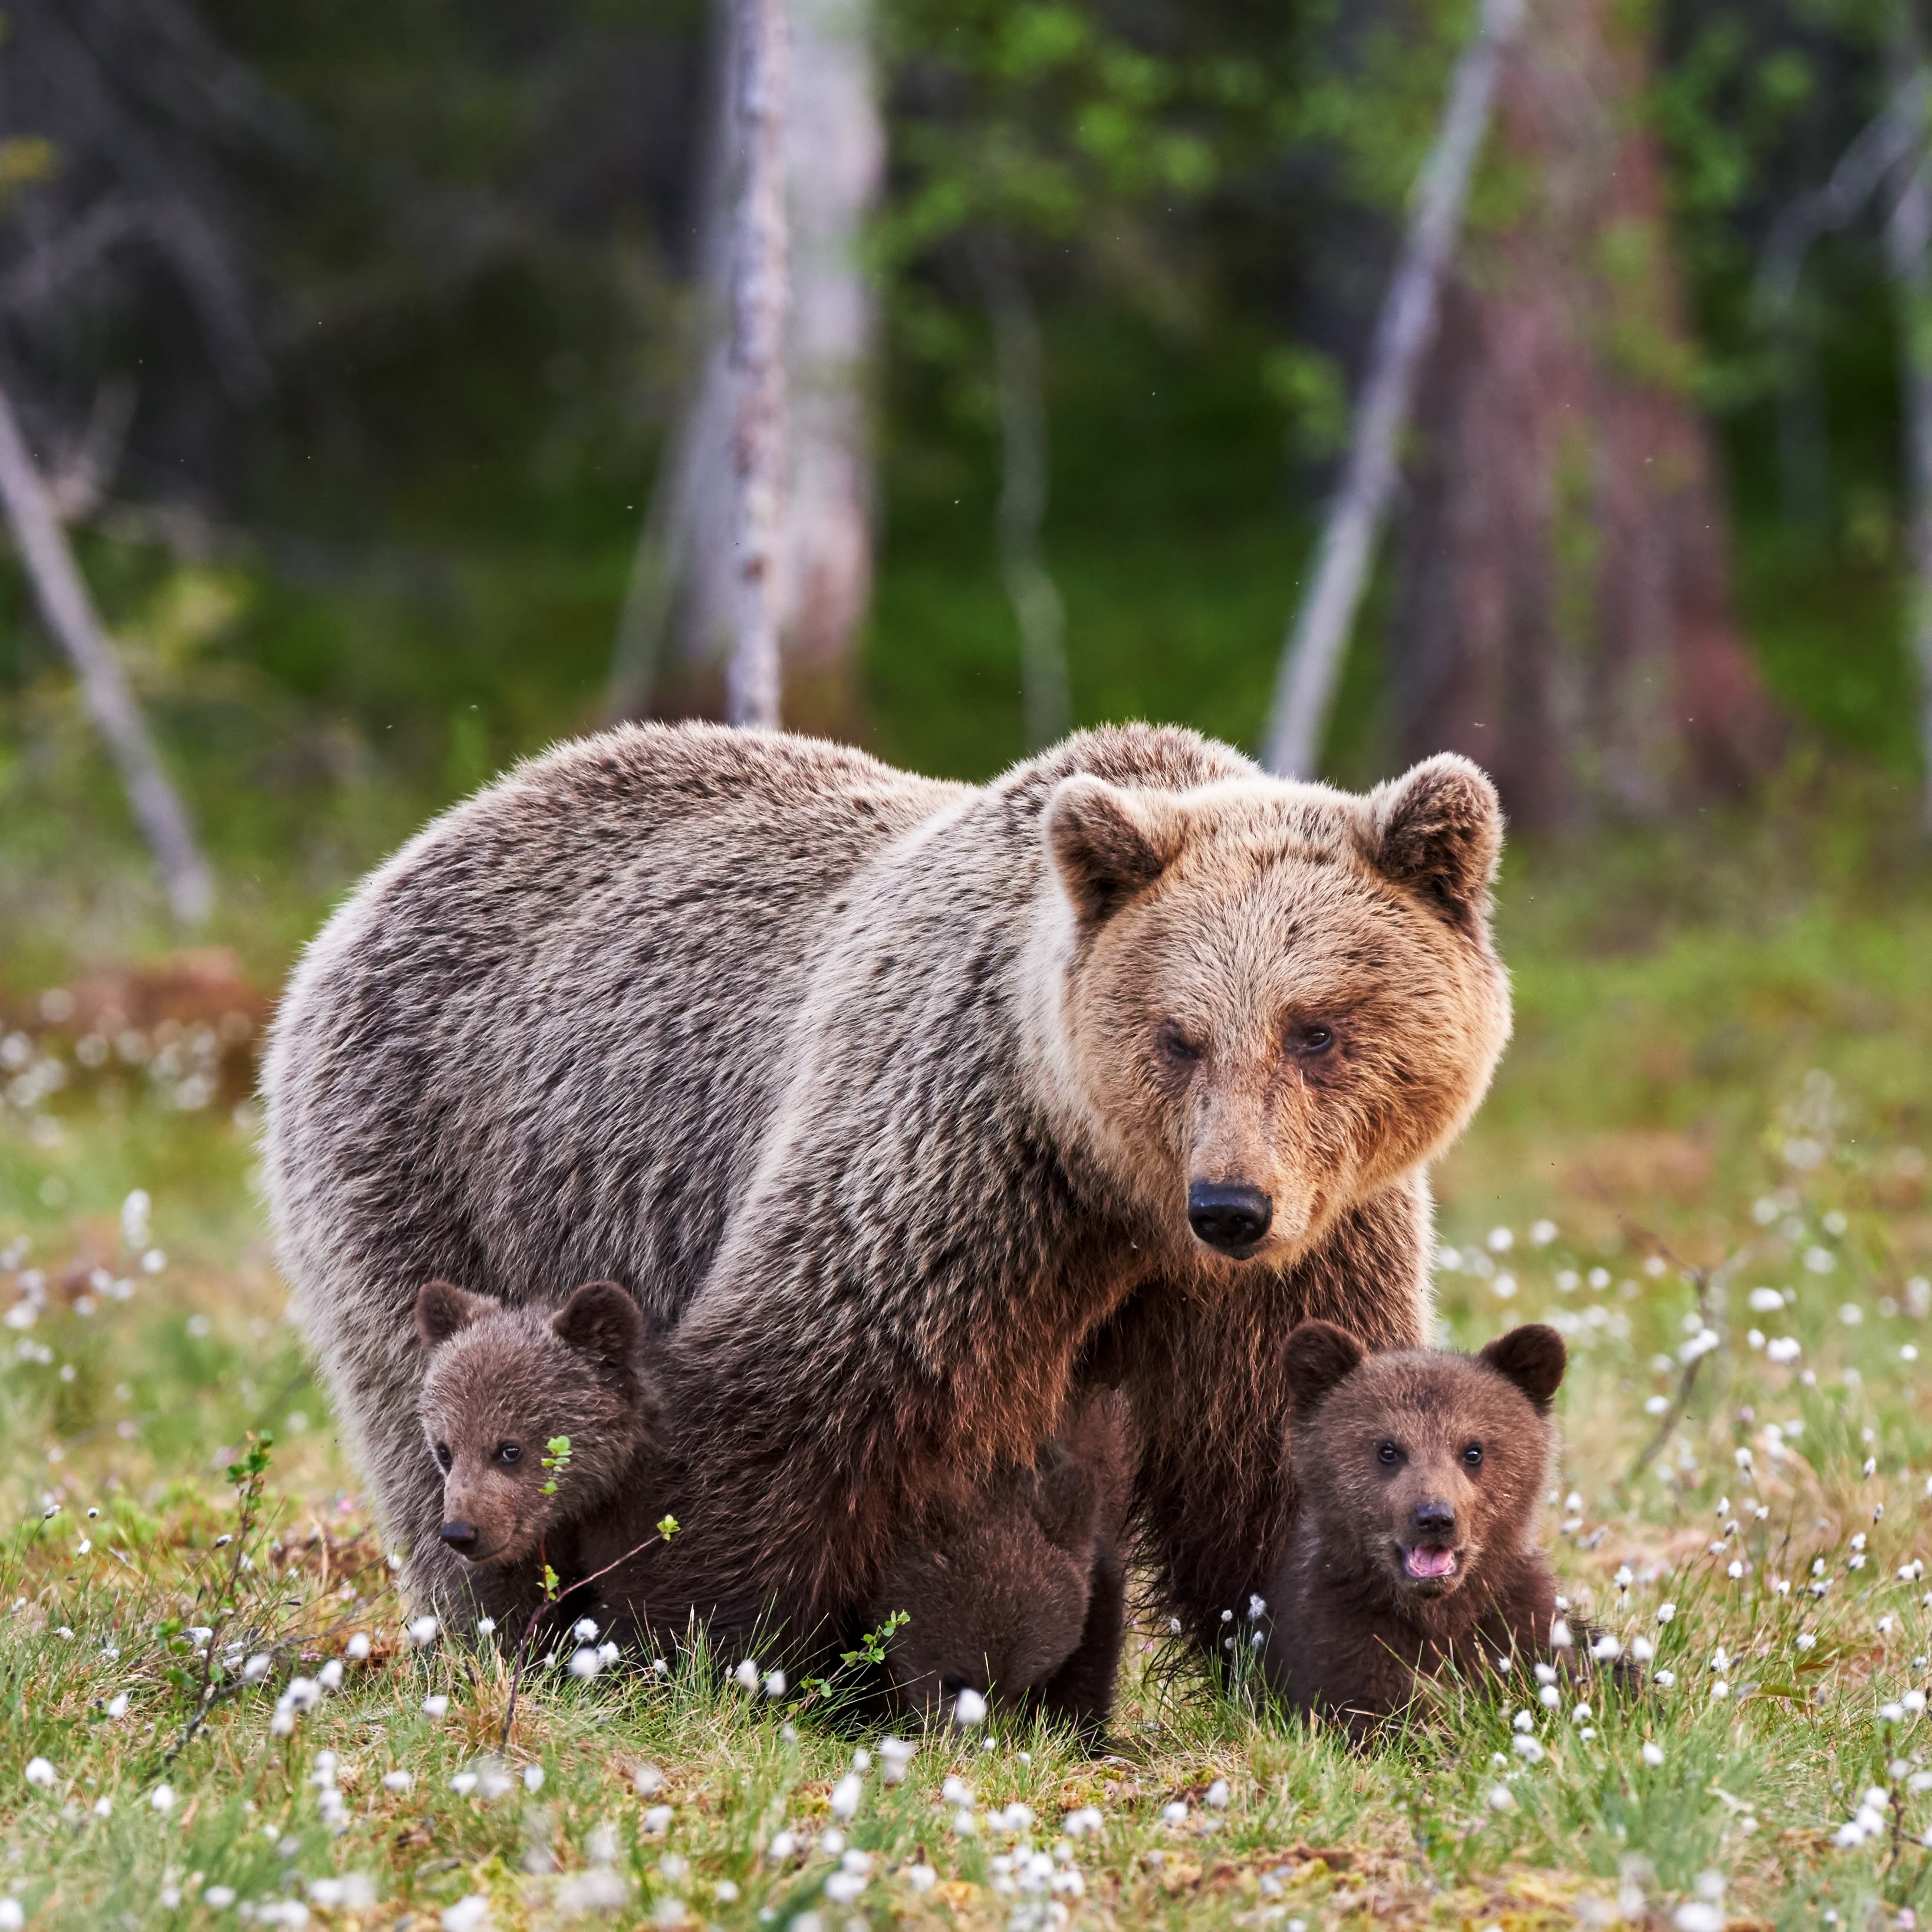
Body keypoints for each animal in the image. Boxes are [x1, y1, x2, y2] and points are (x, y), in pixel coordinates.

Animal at [261, 720, 1511, 1645]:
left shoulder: (1304, 1249)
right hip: (439, 1161)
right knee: (446, 1407)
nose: (1233, 1208)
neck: (1115, 1196)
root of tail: (407, 855)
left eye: (1315, 1029)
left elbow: (1281, 1440)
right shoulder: (950, 1162)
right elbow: (796, 1398)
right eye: (1177, 1035)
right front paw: (715, 1644)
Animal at [1261, 1320, 1594, 1736]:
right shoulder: (1339, 1632)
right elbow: (1371, 1713)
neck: (1438, 1614)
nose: (1435, 1517)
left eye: (1473, 1450)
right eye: (1388, 1449)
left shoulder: (1522, 1624)